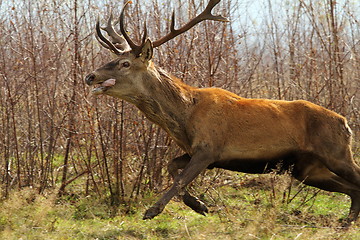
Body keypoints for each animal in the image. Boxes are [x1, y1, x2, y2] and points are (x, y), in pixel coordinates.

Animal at [86, 0, 360, 226]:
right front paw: (199, 205)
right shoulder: (197, 152)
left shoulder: (209, 148)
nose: (90, 76)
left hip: (336, 153)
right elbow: (171, 166)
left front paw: (153, 210)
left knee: (357, 180)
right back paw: (347, 221)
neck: (184, 116)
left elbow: (179, 178)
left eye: (125, 63)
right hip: (307, 169)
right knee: (352, 188)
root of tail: (345, 124)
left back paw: (349, 221)